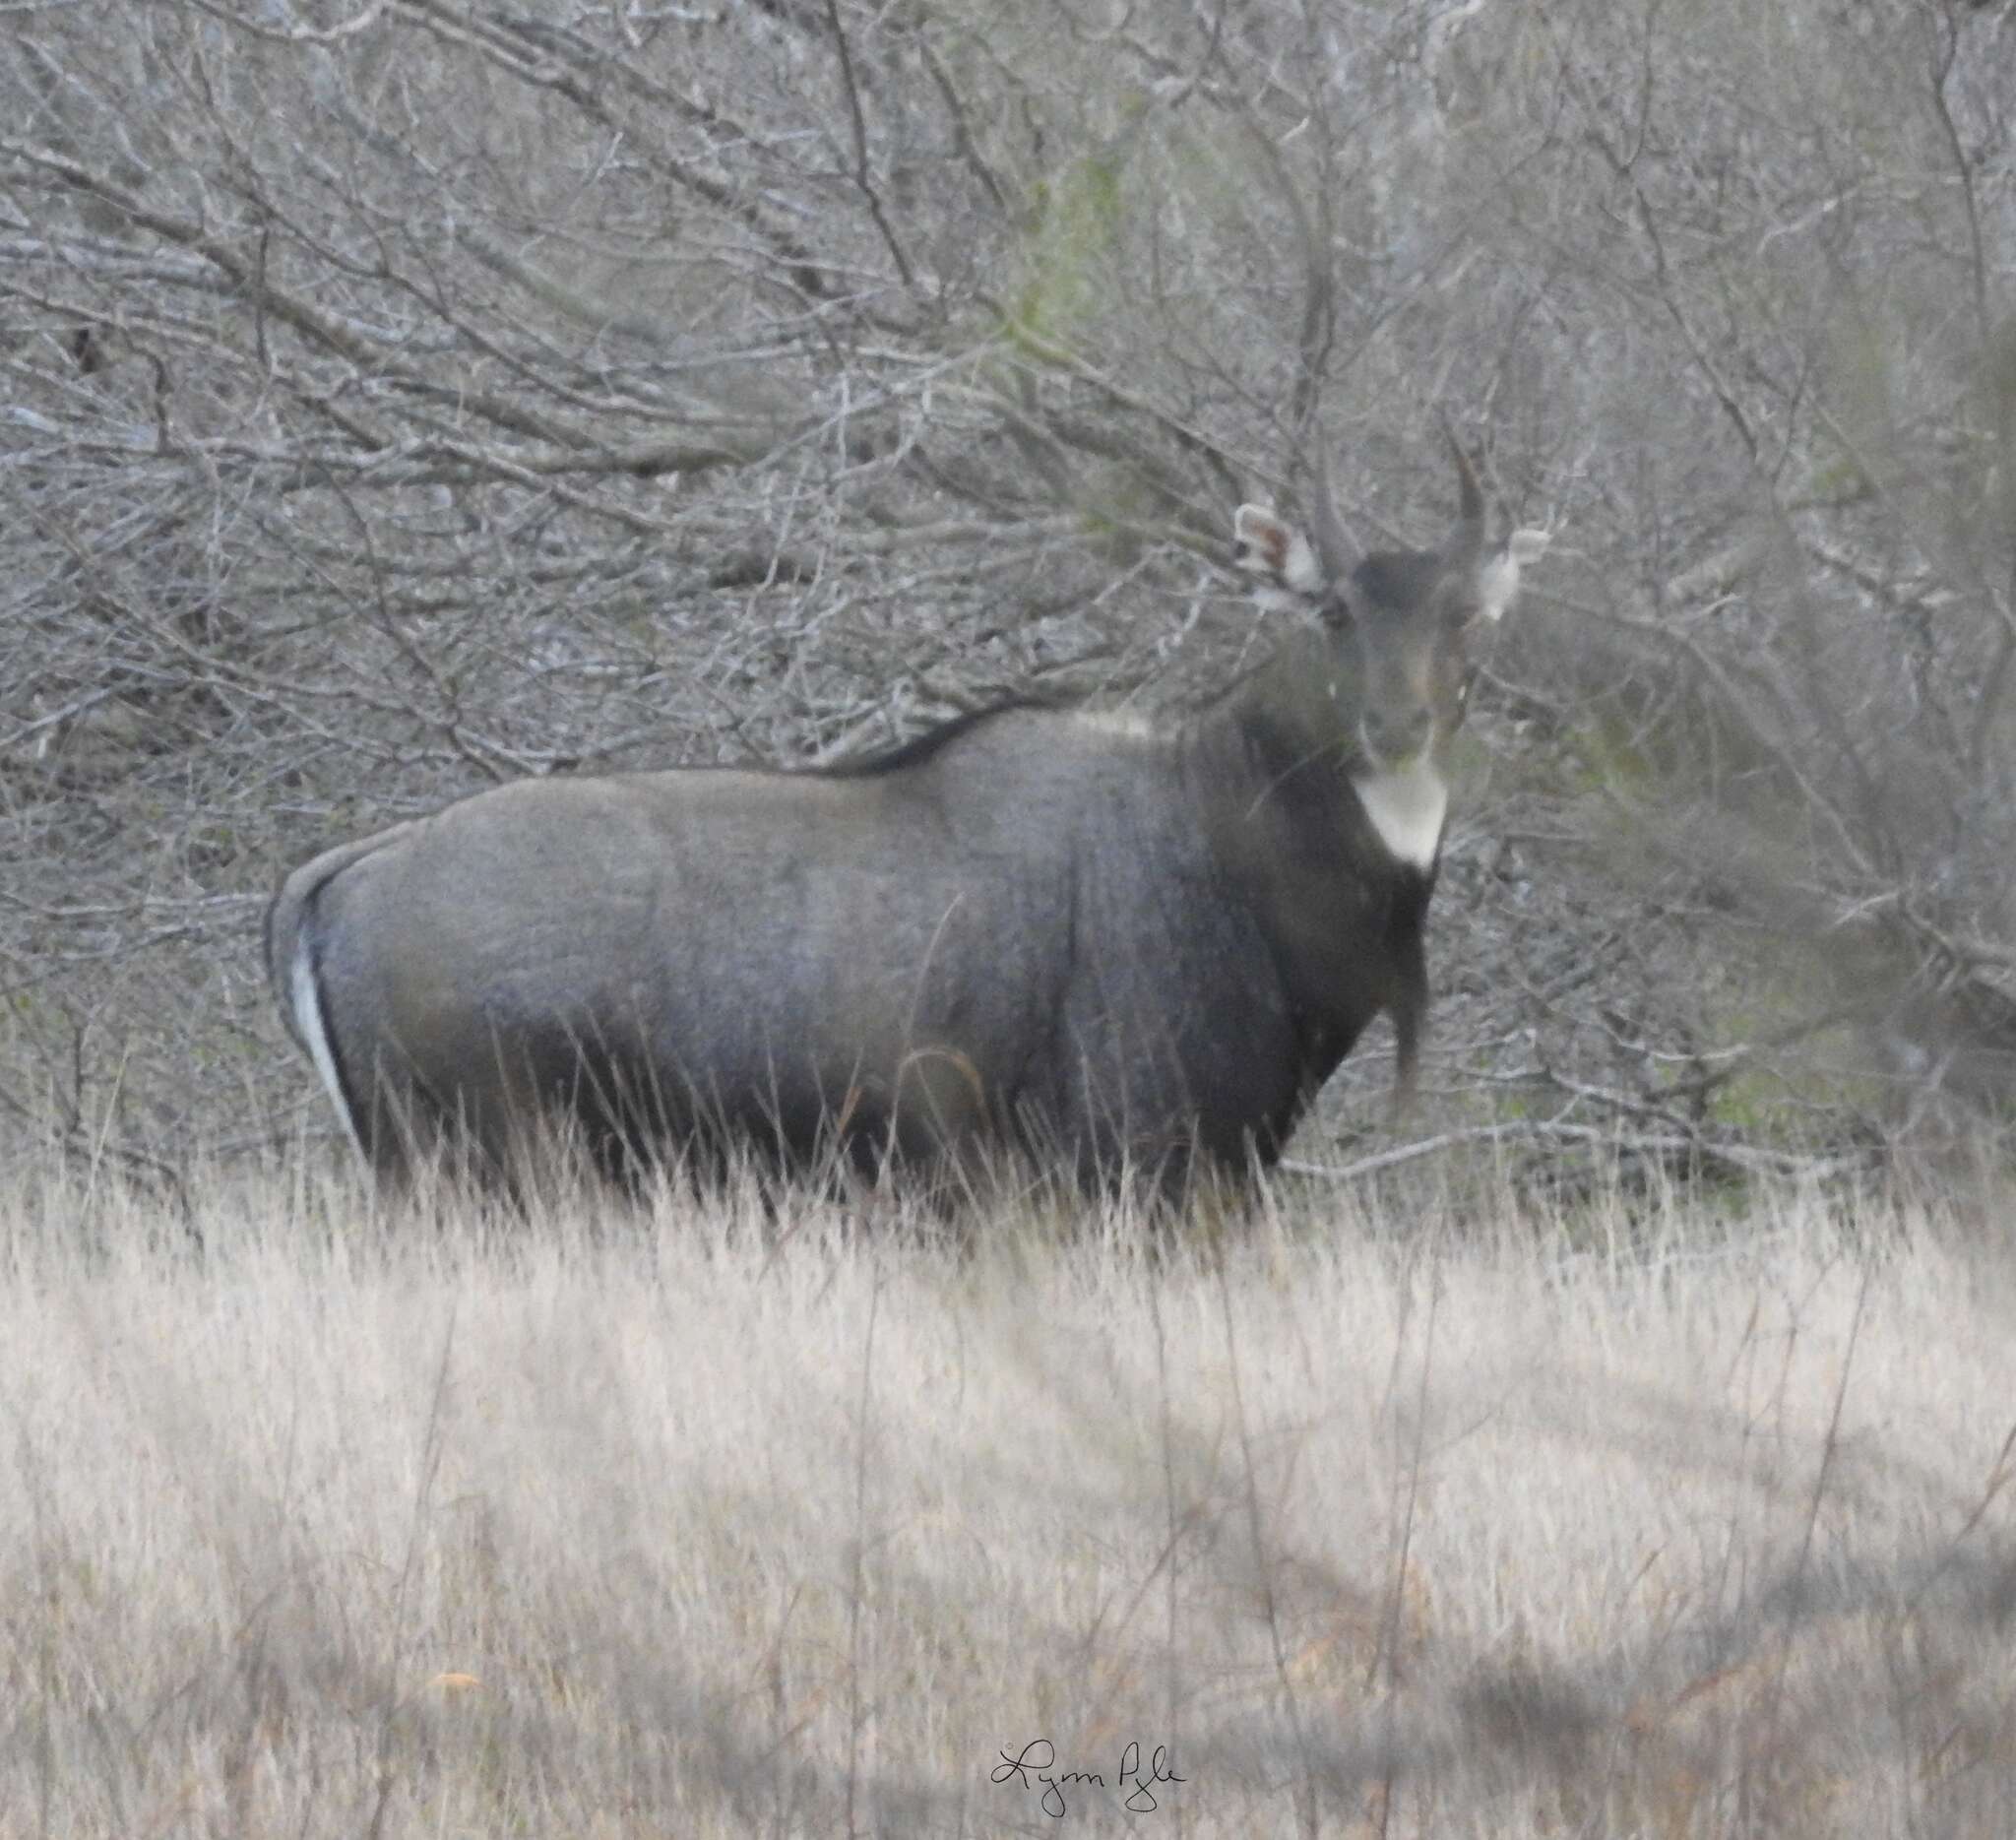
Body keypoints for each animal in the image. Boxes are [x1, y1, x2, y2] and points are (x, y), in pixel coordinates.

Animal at [268, 443, 1547, 1192]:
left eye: (1467, 617)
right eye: (1332, 610)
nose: (1395, 726)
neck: (1215, 812)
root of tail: (346, 873)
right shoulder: (1127, 1162)